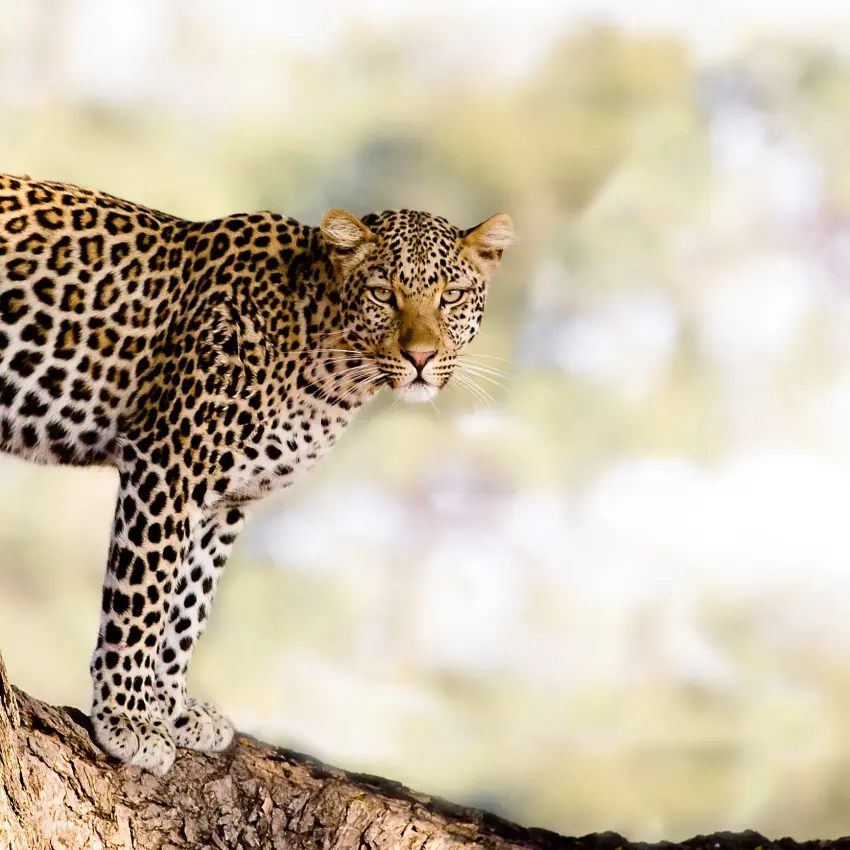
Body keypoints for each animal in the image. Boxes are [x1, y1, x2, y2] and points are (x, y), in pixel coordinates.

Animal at [0, 172, 514, 775]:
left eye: (451, 296)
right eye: (383, 294)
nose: (420, 356)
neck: (330, 370)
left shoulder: (224, 500)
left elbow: (188, 607)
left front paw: (170, 709)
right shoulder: (168, 462)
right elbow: (144, 597)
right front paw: (128, 719)